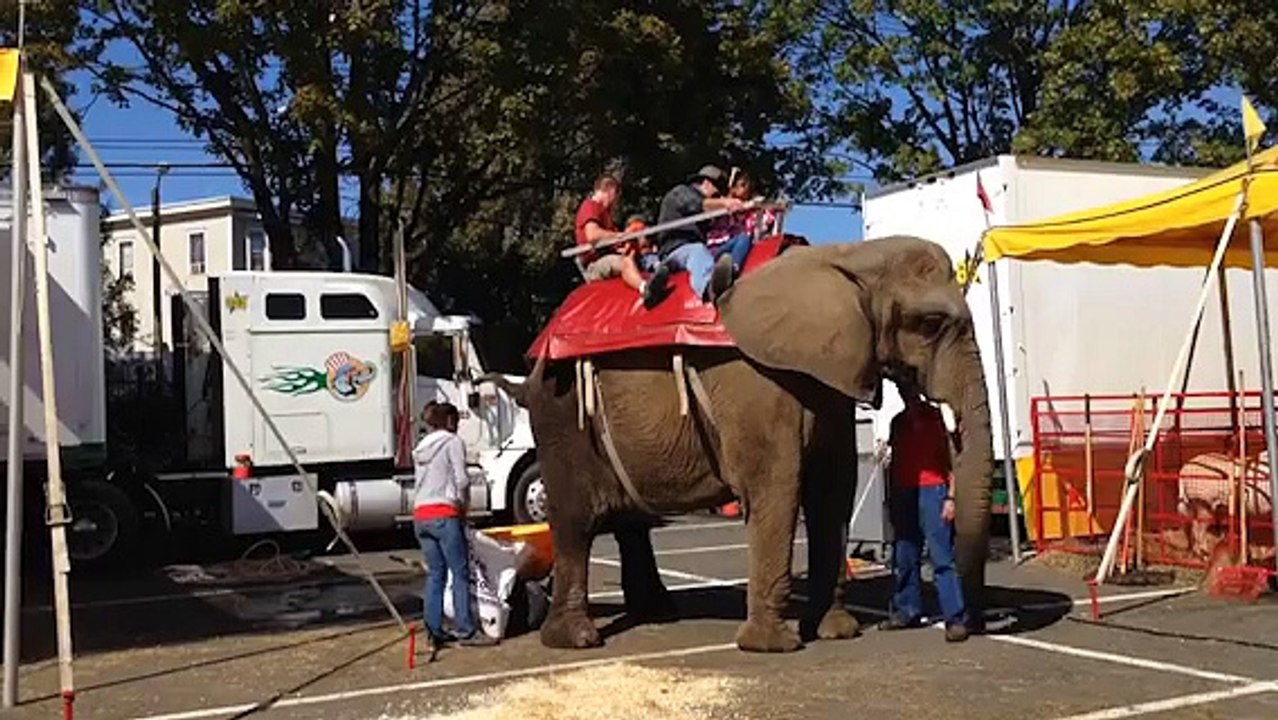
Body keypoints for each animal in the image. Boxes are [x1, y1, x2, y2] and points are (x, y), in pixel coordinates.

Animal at [493, 235, 995, 653]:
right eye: (930, 323)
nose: (960, 630)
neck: (848, 258)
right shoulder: (757, 381)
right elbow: (776, 485)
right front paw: (774, 646)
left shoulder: (826, 377)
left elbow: (833, 487)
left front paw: (835, 632)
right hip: (559, 413)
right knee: (575, 520)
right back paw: (576, 639)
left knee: (632, 522)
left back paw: (657, 613)